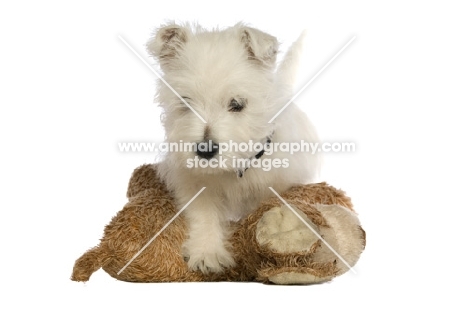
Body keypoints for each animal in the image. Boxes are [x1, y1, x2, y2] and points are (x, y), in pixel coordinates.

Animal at [148, 22, 320, 274]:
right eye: (186, 103)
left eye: (237, 104)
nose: (205, 150)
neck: (235, 169)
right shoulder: (193, 182)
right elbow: (203, 213)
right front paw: (207, 253)